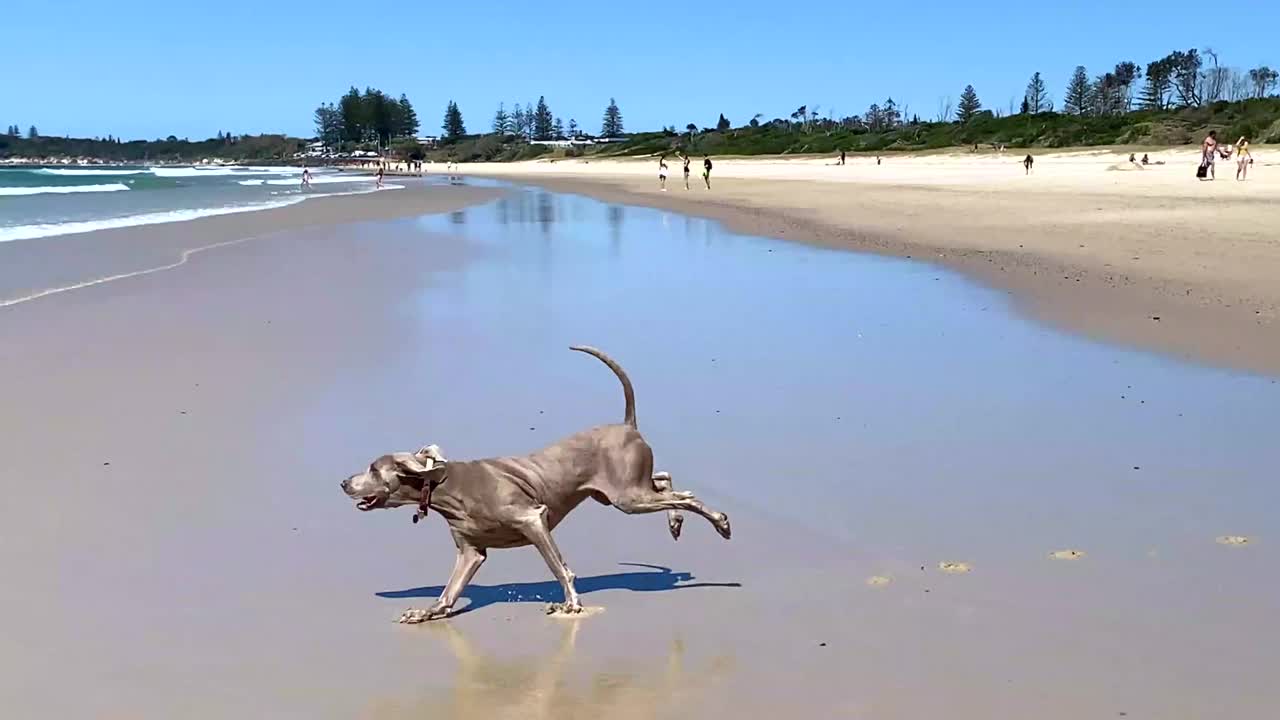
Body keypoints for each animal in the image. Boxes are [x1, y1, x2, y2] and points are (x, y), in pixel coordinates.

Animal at [340, 345, 732, 620]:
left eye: (373, 468)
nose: (343, 482)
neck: (446, 486)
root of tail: (627, 425)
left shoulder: (532, 519)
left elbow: (559, 567)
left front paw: (571, 604)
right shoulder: (470, 551)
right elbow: (449, 591)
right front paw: (425, 612)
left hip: (627, 498)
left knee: (685, 495)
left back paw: (719, 522)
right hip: (619, 491)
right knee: (666, 482)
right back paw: (677, 522)